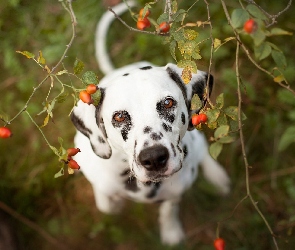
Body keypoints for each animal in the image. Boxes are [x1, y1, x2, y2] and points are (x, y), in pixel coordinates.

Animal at [70, 0, 231, 245]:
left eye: (167, 103)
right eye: (119, 116)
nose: (154, 158)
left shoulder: (176, 191)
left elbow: (169, 209)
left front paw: (171, 231)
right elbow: (107, 203)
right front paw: (114, 201)